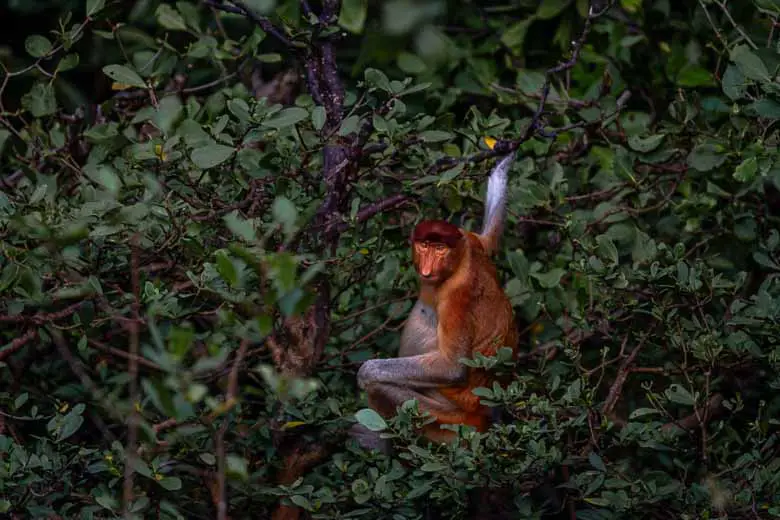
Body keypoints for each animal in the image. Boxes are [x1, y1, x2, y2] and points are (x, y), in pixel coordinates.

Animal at [354, 153, 518, 447]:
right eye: (424, 246)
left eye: (440, 248)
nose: (427, 269)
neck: (460, 260)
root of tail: (481, 417)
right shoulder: (472, 241)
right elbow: (490, 235)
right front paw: (504, 162)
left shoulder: (457, 296)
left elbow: (451, 368)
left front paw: (367, 372)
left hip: (447, 420)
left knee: (388, 389)